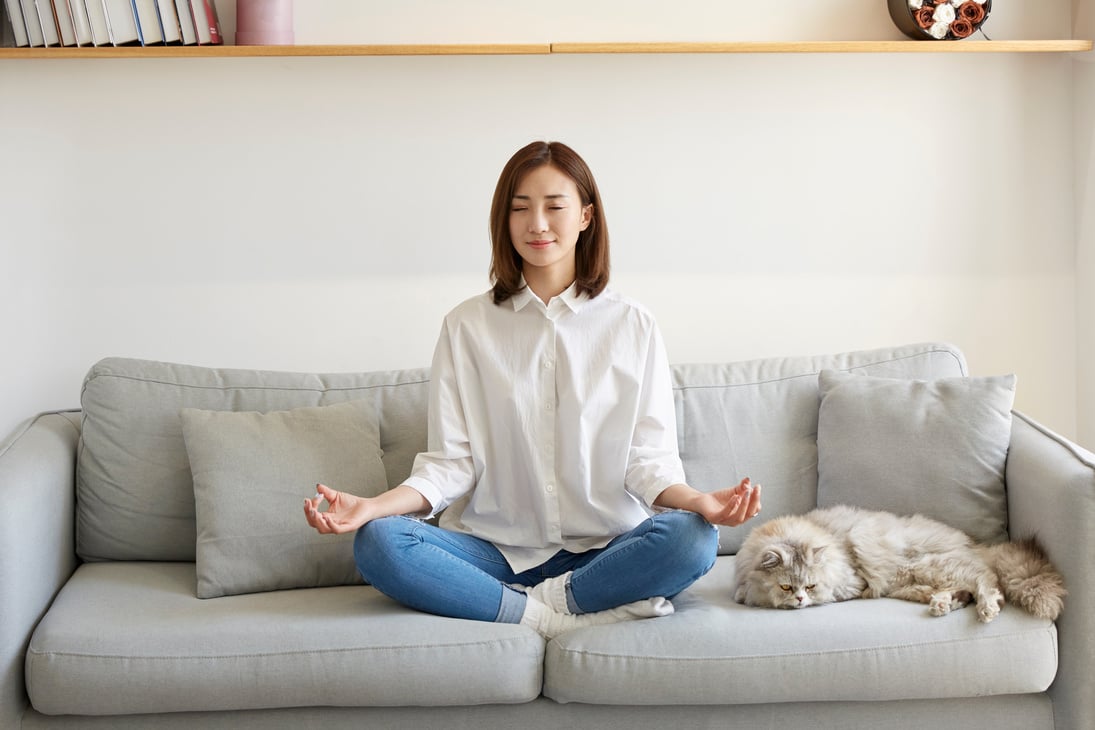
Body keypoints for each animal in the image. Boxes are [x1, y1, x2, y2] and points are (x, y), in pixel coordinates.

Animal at [731, 507, 1064, 621]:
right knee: (963, 590)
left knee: (986, 581)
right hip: (912, 582)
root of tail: (980, 546)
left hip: (926, 567)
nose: (800, 599)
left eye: (810, 586)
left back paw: (987, 608)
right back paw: (942, 604)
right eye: (787, 587)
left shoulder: (853, 581)